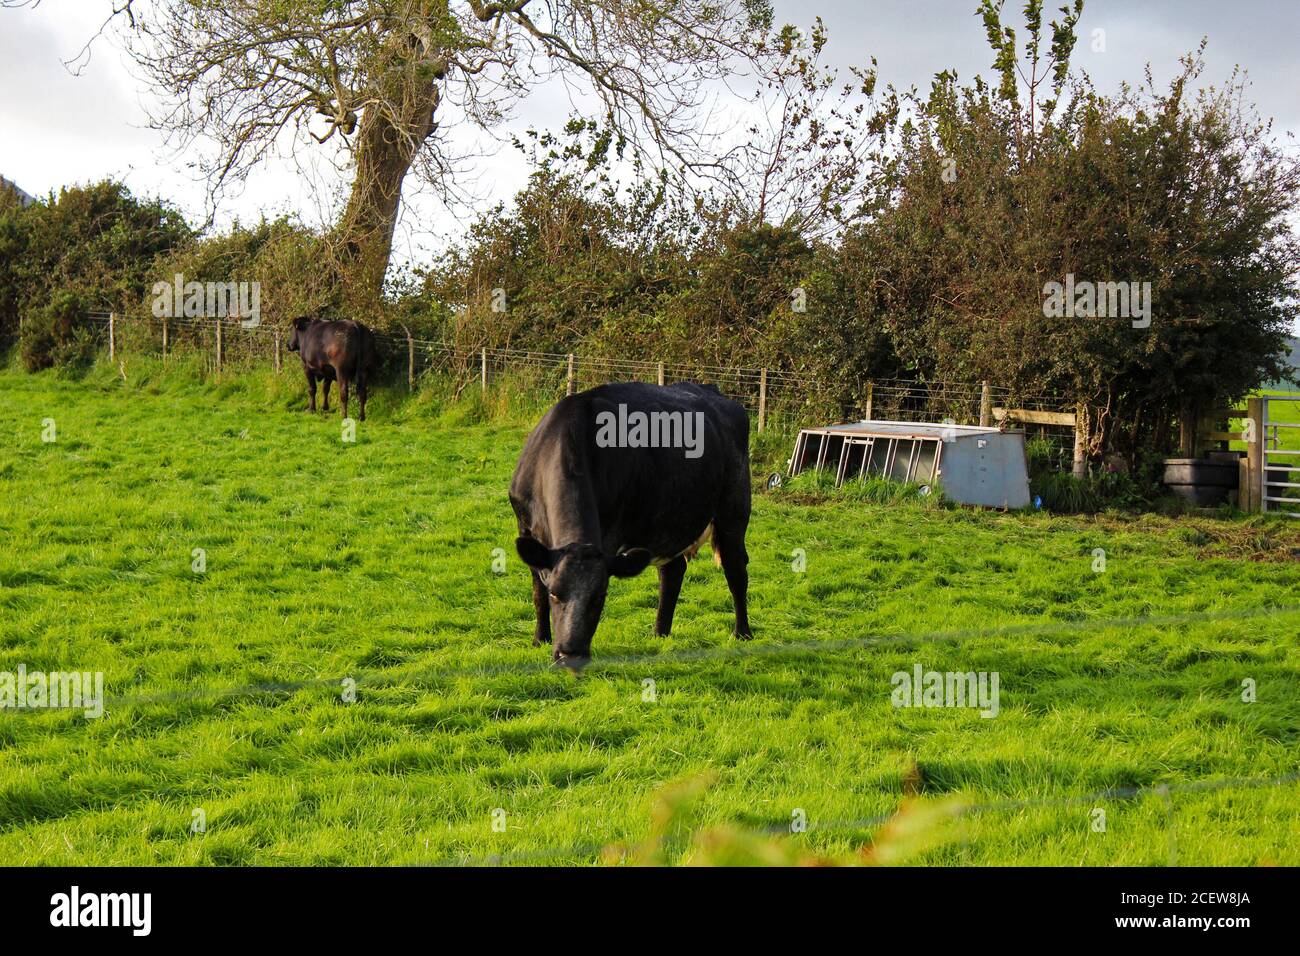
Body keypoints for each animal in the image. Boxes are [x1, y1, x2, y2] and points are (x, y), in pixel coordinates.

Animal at [506, 379, 754, 665]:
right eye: (555, 593)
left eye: (599, 597)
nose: (571, 654)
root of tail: (712, 390)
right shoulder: (526, 528)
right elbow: (537, 593)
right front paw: (540, 639)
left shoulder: (610, 534)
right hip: (670, 521)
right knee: (673, 571)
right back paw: (660, 633)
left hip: (733, 511)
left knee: (736, 570)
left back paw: (742, 634)